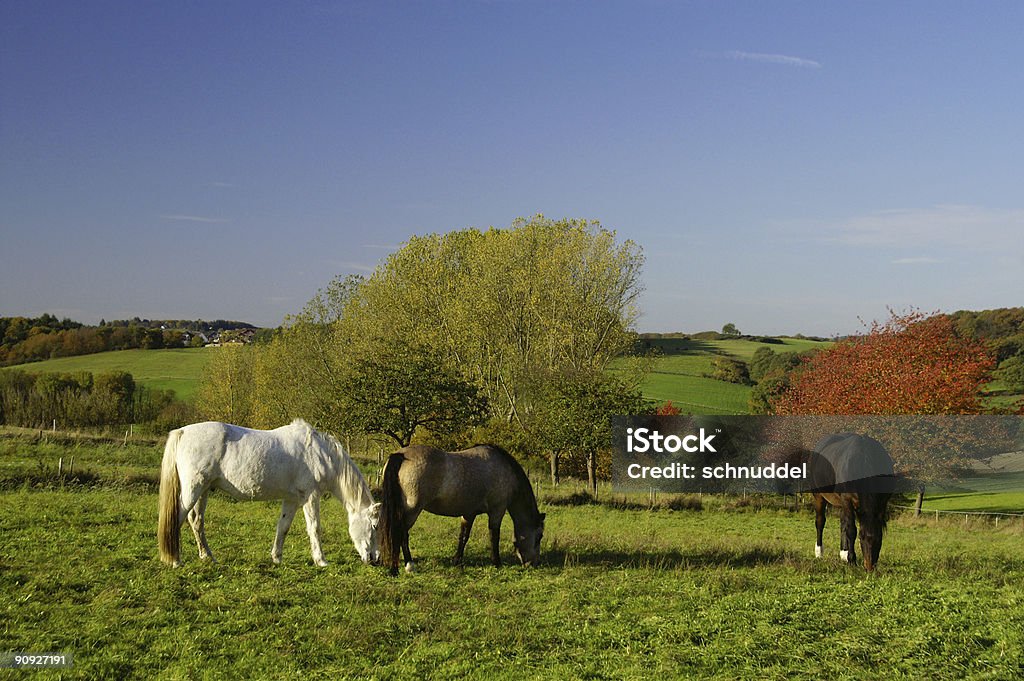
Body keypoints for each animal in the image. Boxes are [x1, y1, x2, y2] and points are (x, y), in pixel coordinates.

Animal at [157, 419, 382, 569]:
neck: (320, 453)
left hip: (203, 490)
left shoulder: (292, 499)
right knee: (177, 518)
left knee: (196, 521)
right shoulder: (311, 497)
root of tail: (182, 432)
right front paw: (321, 560)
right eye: (374, 526)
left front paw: (277, 557)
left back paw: (207, 557)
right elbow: (315, 528)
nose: (375, 558)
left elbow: (283, 527)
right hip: (193, 489)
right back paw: (175, 560)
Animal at [380, 444, 548, 577]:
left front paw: (457, 561)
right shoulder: (497, 511)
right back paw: (404, 567)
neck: (505, 471)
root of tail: (401, 455)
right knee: (401, 534)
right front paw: (496, 562)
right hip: (412, 511)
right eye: (539, 536)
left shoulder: (468, 513)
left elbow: (463, 536)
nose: (534, 563)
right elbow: (494, 537)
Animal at [802, 432, 892, 569]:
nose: (869, 567)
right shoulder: (847, 500)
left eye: (879, 539)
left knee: (843, 523)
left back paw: (843, 554)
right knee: (820, 522)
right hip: (819, 497)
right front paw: (852, 560)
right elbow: (851, 530)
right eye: (861, 537)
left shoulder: (882, 502)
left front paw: (847, 557)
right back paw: (819, 553)